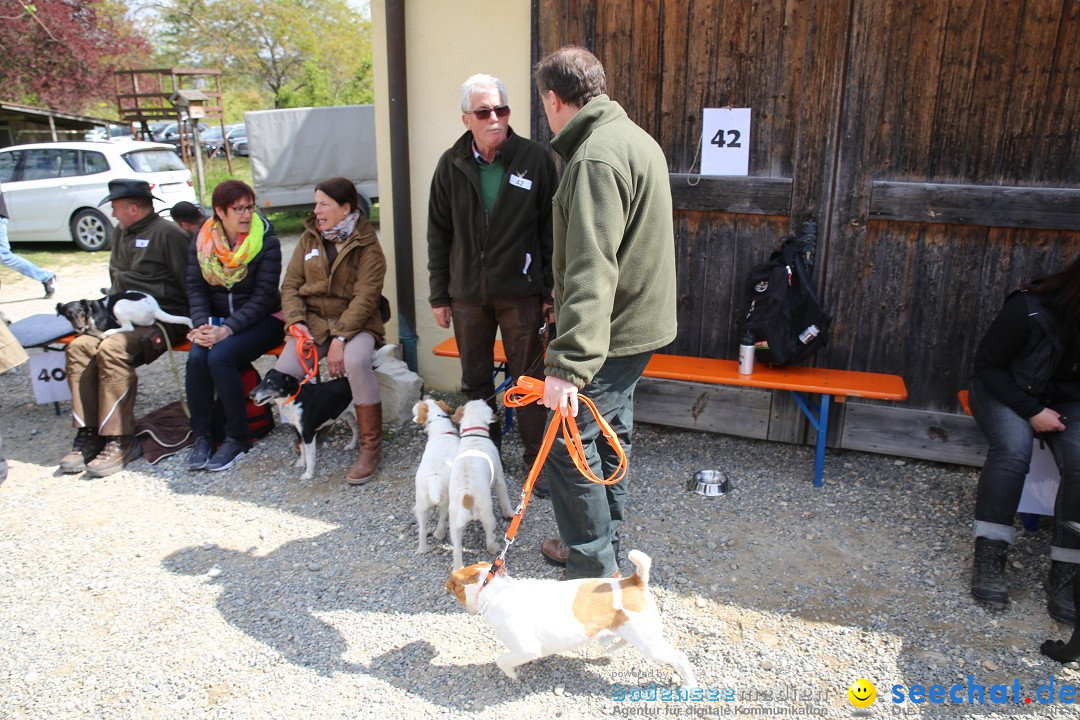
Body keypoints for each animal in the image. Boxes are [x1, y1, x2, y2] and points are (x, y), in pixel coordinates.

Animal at [57, 291, 192, 338]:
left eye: (81, 311)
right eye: (68, 314)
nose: (78, 327)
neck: (90, 313)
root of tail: (155, 308)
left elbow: (96, 332)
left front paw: (99, 333)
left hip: (118, 305)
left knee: (128, 327)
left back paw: (109, 332)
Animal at [412, 397, 460, 557]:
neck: (442, 431)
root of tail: (435, 477)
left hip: (421, 504)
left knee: (422, 530)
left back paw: (422, 549)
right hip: (446, 500)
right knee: (442, 519)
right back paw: (439, 534)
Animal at [442, 552, 695, 686]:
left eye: (455, 591)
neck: (496, 590)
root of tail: (635, 580)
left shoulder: (526, 647)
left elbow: (502, 660)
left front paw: (513, 674)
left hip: (650, 643)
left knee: (681, 658)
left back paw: (688, 686)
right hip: (636, 633)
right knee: (622, 641)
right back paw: (609, 651)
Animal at [447, 399, 514, 569]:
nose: (483, 399)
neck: (473, 435)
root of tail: (466, 495)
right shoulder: (499, 480)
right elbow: (504, 499)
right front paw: (509, 513)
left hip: (454, 523)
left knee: (457, 549)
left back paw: (458, 568)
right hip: (487, 514)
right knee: (489, 538)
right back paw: (494, 547)